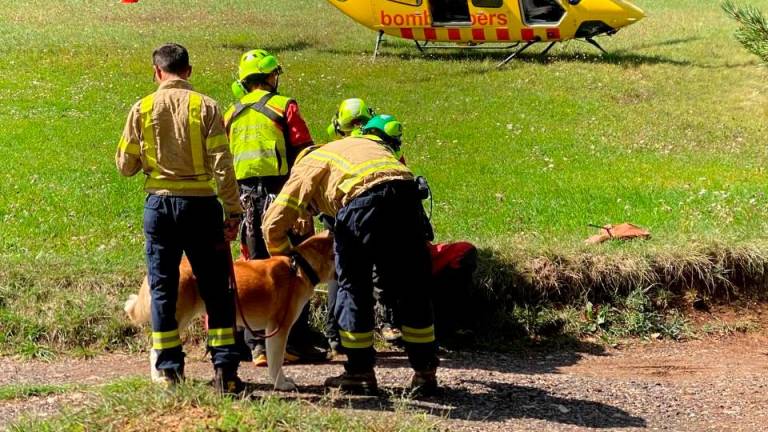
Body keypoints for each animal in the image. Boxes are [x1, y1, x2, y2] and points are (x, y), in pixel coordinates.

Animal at [123, 230, 332, 392]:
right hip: (177, 318)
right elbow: (276, 361)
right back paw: (160, 378)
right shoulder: (278, 329)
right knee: (155, 350)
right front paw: (280, 384)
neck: (301, 267)